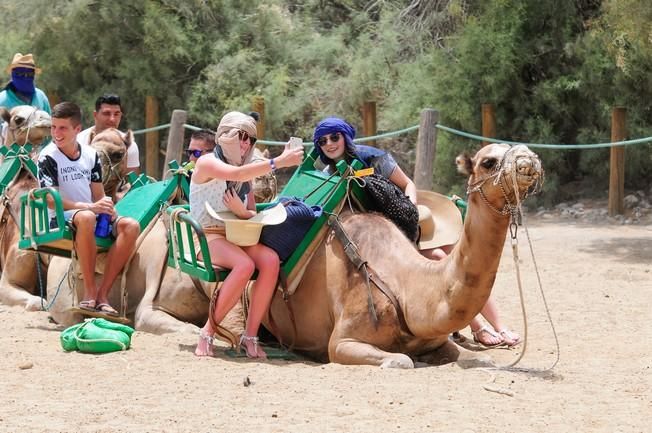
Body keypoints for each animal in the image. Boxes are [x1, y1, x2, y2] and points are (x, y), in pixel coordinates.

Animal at [258, 143, 544, 366]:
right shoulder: (342, 341)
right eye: (488, 162)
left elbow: (470, 356)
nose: (529, 158)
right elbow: (402, 360)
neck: (405, 287)